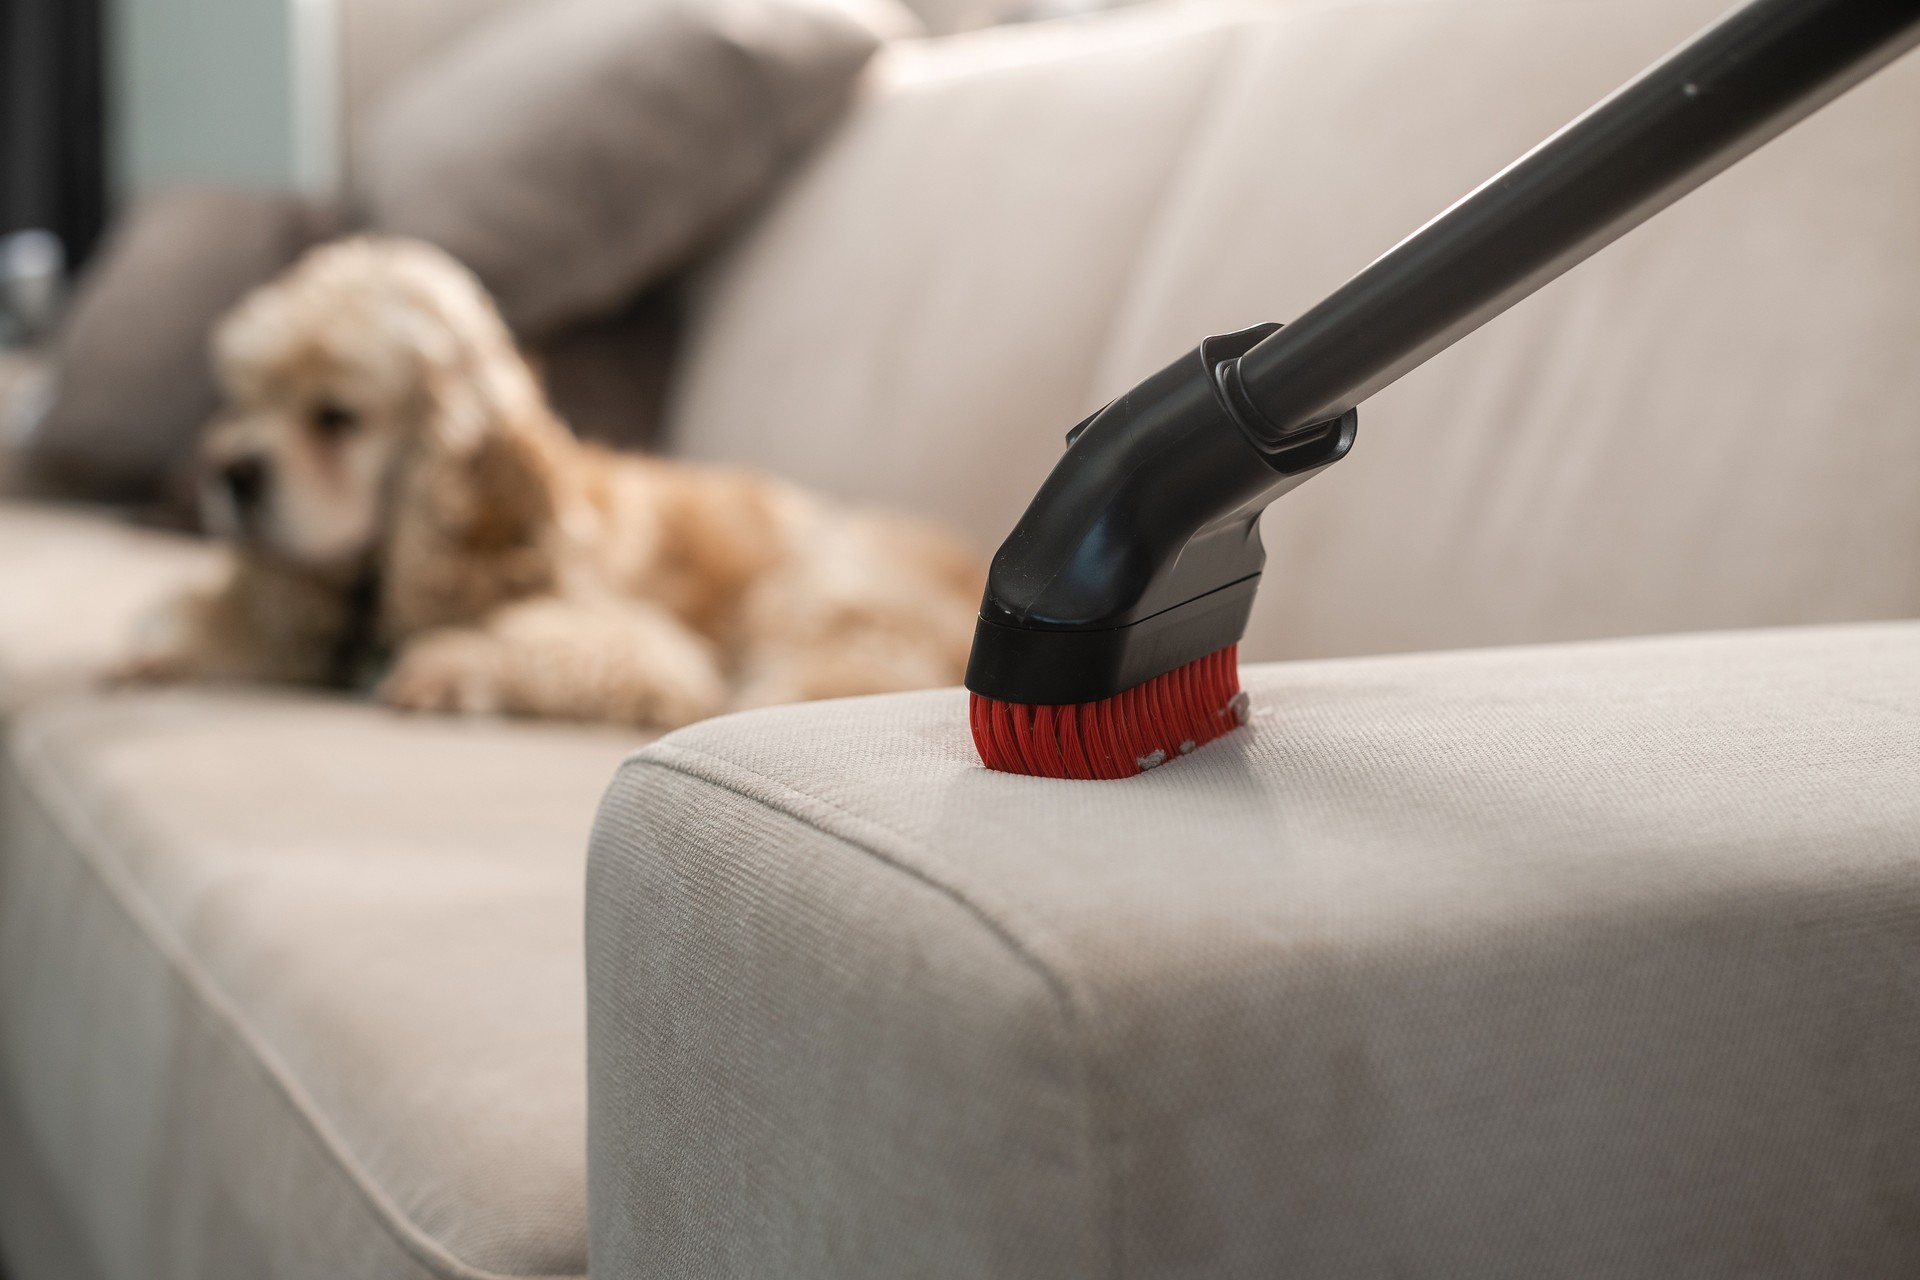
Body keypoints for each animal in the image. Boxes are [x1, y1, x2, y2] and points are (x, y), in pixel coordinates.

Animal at [127, 235, 983, 725]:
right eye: (245, 400)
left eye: (336, 417)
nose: (231, 474)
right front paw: (180, 639)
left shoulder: (646, 651)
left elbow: (534, 644)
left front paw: (444, 665)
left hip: (823, 588)